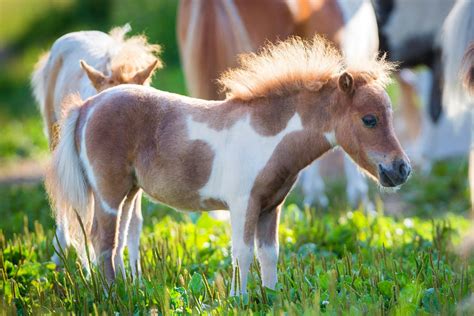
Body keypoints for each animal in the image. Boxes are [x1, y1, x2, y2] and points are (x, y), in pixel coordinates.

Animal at [31, 24, 162, 274]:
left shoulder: (135, 178)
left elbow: (133, 222)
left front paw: (135, 275)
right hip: (57, 142)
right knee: (65, 201)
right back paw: (61, 254)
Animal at [47, 37, 412, 294]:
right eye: (369, 119)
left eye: (390, 115)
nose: (402, 169)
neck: (267, 135)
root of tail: (88, 106)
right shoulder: (243, 203)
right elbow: (242, 252)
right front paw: (239, 299)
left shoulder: (271, 207)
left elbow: (269, 254)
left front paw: (271, 297)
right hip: (108, 193)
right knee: (101, 241)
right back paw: (114, 296)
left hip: (129, 193)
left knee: (119, 240)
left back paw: (128, 291)